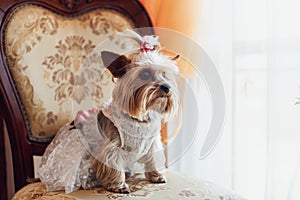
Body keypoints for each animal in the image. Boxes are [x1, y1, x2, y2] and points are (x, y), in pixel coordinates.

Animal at [37, 30, 178, 194]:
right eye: (144, 74)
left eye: (165, 74)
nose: (167, 87)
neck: (139, 119)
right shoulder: (112, 144)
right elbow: (113, 164)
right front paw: (118, 185)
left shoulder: (151, 143)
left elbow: (153, 159)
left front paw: (156, 175)